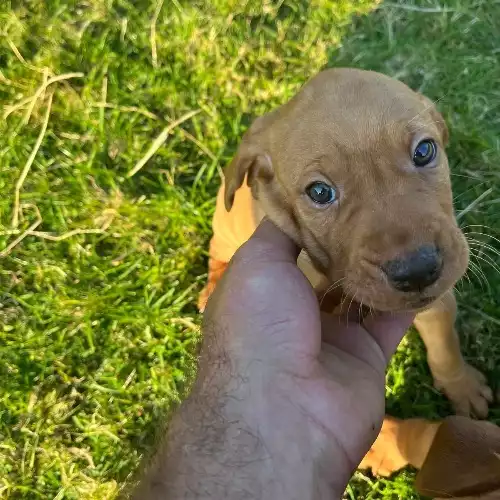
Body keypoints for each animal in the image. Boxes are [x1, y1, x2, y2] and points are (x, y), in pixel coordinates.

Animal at [199, 67, 492, 418]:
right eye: (320, 192)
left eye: (424, 151)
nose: (418, 271)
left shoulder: (438, 300)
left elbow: (445, 343)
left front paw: (462, 386)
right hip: (225, 219)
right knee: (217, 248)